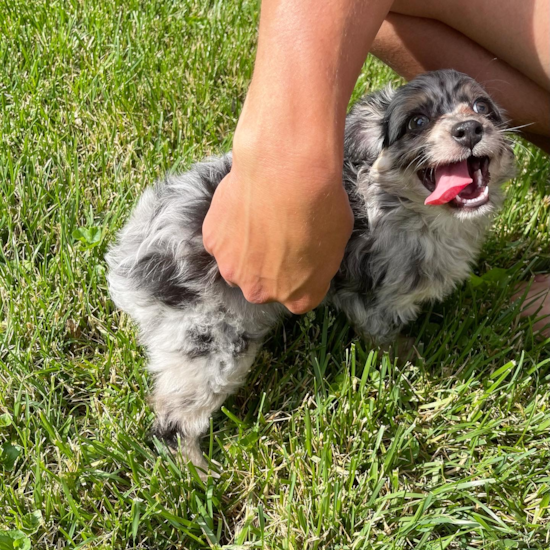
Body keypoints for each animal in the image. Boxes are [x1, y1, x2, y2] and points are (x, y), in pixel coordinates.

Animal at [106, 70, 516, 474]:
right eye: (417, 122)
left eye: (482, 107)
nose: (469, 129)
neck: (410, 211)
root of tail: (132, 252)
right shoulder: (367, 295)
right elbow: (382, 334)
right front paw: (406, 357)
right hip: (212, 342)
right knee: (171, 422)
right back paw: (199, 474)